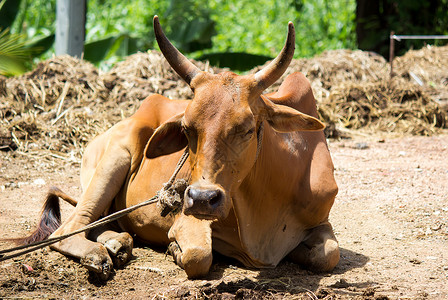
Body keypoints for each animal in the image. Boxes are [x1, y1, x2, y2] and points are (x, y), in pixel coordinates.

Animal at [21, 16, 338, 278]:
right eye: (186, 129)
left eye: (248, 128)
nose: (202, 198)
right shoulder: (188, 221)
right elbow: (198, 257)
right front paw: (174, 249)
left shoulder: (321, 221)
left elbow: (329, 255)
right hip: (114, 159)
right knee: (69, 229)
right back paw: (99, 254)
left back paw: (117, 242)